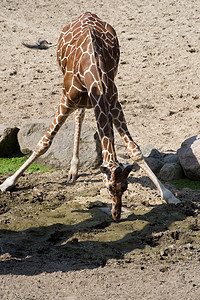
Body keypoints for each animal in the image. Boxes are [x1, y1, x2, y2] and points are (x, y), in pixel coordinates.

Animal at [0, 12, 180, 220]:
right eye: (109, 187)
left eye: (125, 187)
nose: (116, 215)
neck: (93, 71)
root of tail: (86, 13)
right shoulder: (66, 99)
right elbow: (43, 143)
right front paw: (7, 183)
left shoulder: (113, 101)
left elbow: (134, 150)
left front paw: (169, 195)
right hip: (75, 97)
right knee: (77, 117)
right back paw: (72, 171)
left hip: (90, 101)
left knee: (80, 115)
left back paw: (74, 168)